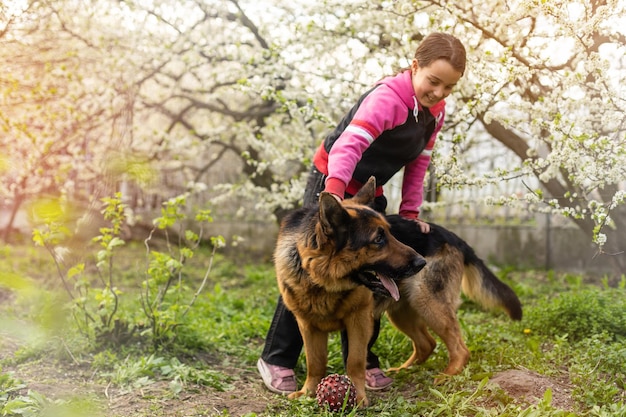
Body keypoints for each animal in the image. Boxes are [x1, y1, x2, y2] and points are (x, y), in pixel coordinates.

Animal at [276, 176, 426, 406]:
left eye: (390, 233)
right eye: (378, 239)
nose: (422, 262)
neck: (323, 282)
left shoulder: (359, 320)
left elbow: (355, 360)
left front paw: (358, 394)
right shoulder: (307, 326)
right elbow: (315, 361)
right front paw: (308, 391)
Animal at [380, 214, 520, 380]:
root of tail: (454, 238)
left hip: (425, 300)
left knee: (460, 349)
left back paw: (447, 375)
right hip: (402, 311)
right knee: (427, 344)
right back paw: (404, 370)